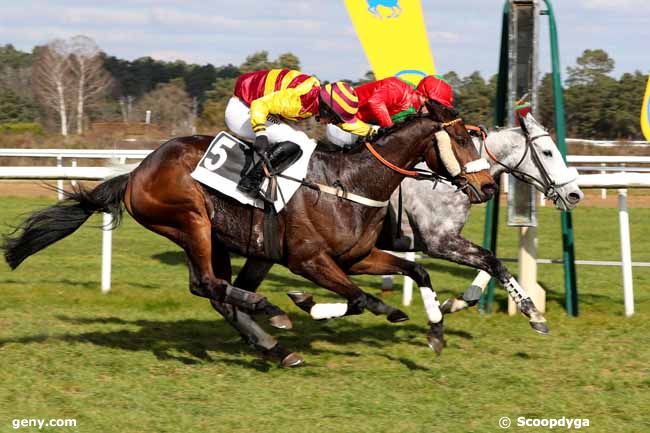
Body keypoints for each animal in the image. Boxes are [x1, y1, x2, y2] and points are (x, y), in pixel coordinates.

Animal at [3, 103, 492, 366]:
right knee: (209, 284)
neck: (350, 182)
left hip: (223, 240)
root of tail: (136, 171)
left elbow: (417, 273)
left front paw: (436, 332)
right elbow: (359, 299)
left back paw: (274, 344)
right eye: (462, 141)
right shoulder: (309, 260)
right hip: (191, 221)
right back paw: (270, 312)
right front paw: (308, 304)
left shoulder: (357, 257)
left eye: (476, 140)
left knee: (216, 291)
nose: (487, 186)